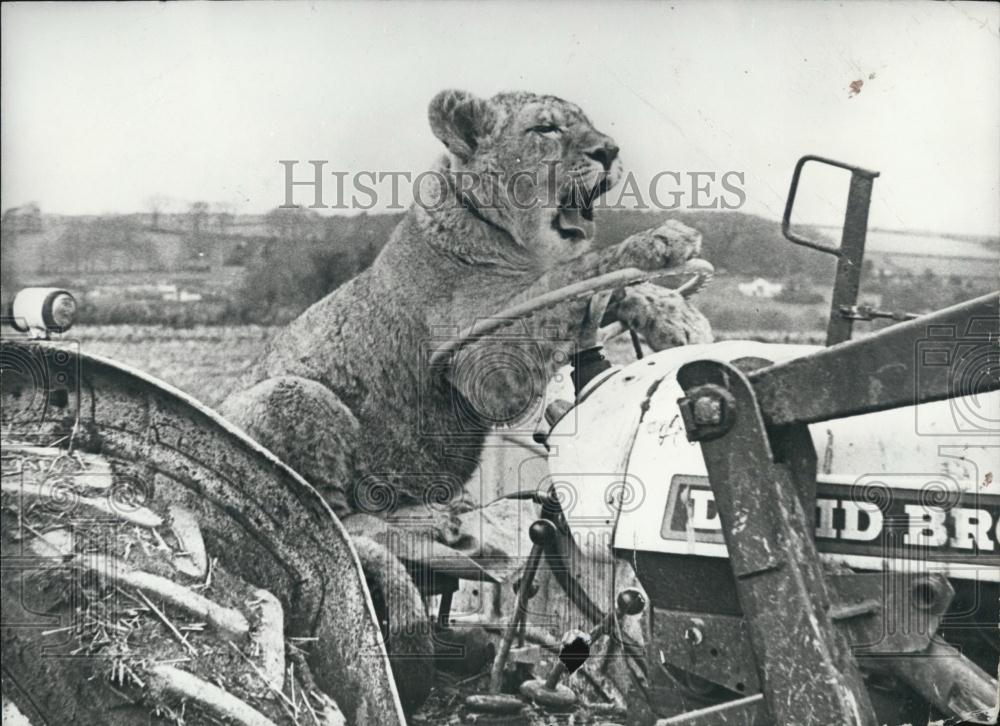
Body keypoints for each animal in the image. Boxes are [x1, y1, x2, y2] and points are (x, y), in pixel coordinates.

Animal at [219, 89, 711, 709]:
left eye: (589, 124)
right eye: (546, 129)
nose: (610, 151)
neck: (514, 242)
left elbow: (602, 287)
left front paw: (679, 320)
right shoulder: (485, 366)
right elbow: (573, 277)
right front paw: (661, 242)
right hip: (300, 395)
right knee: (338, 522)